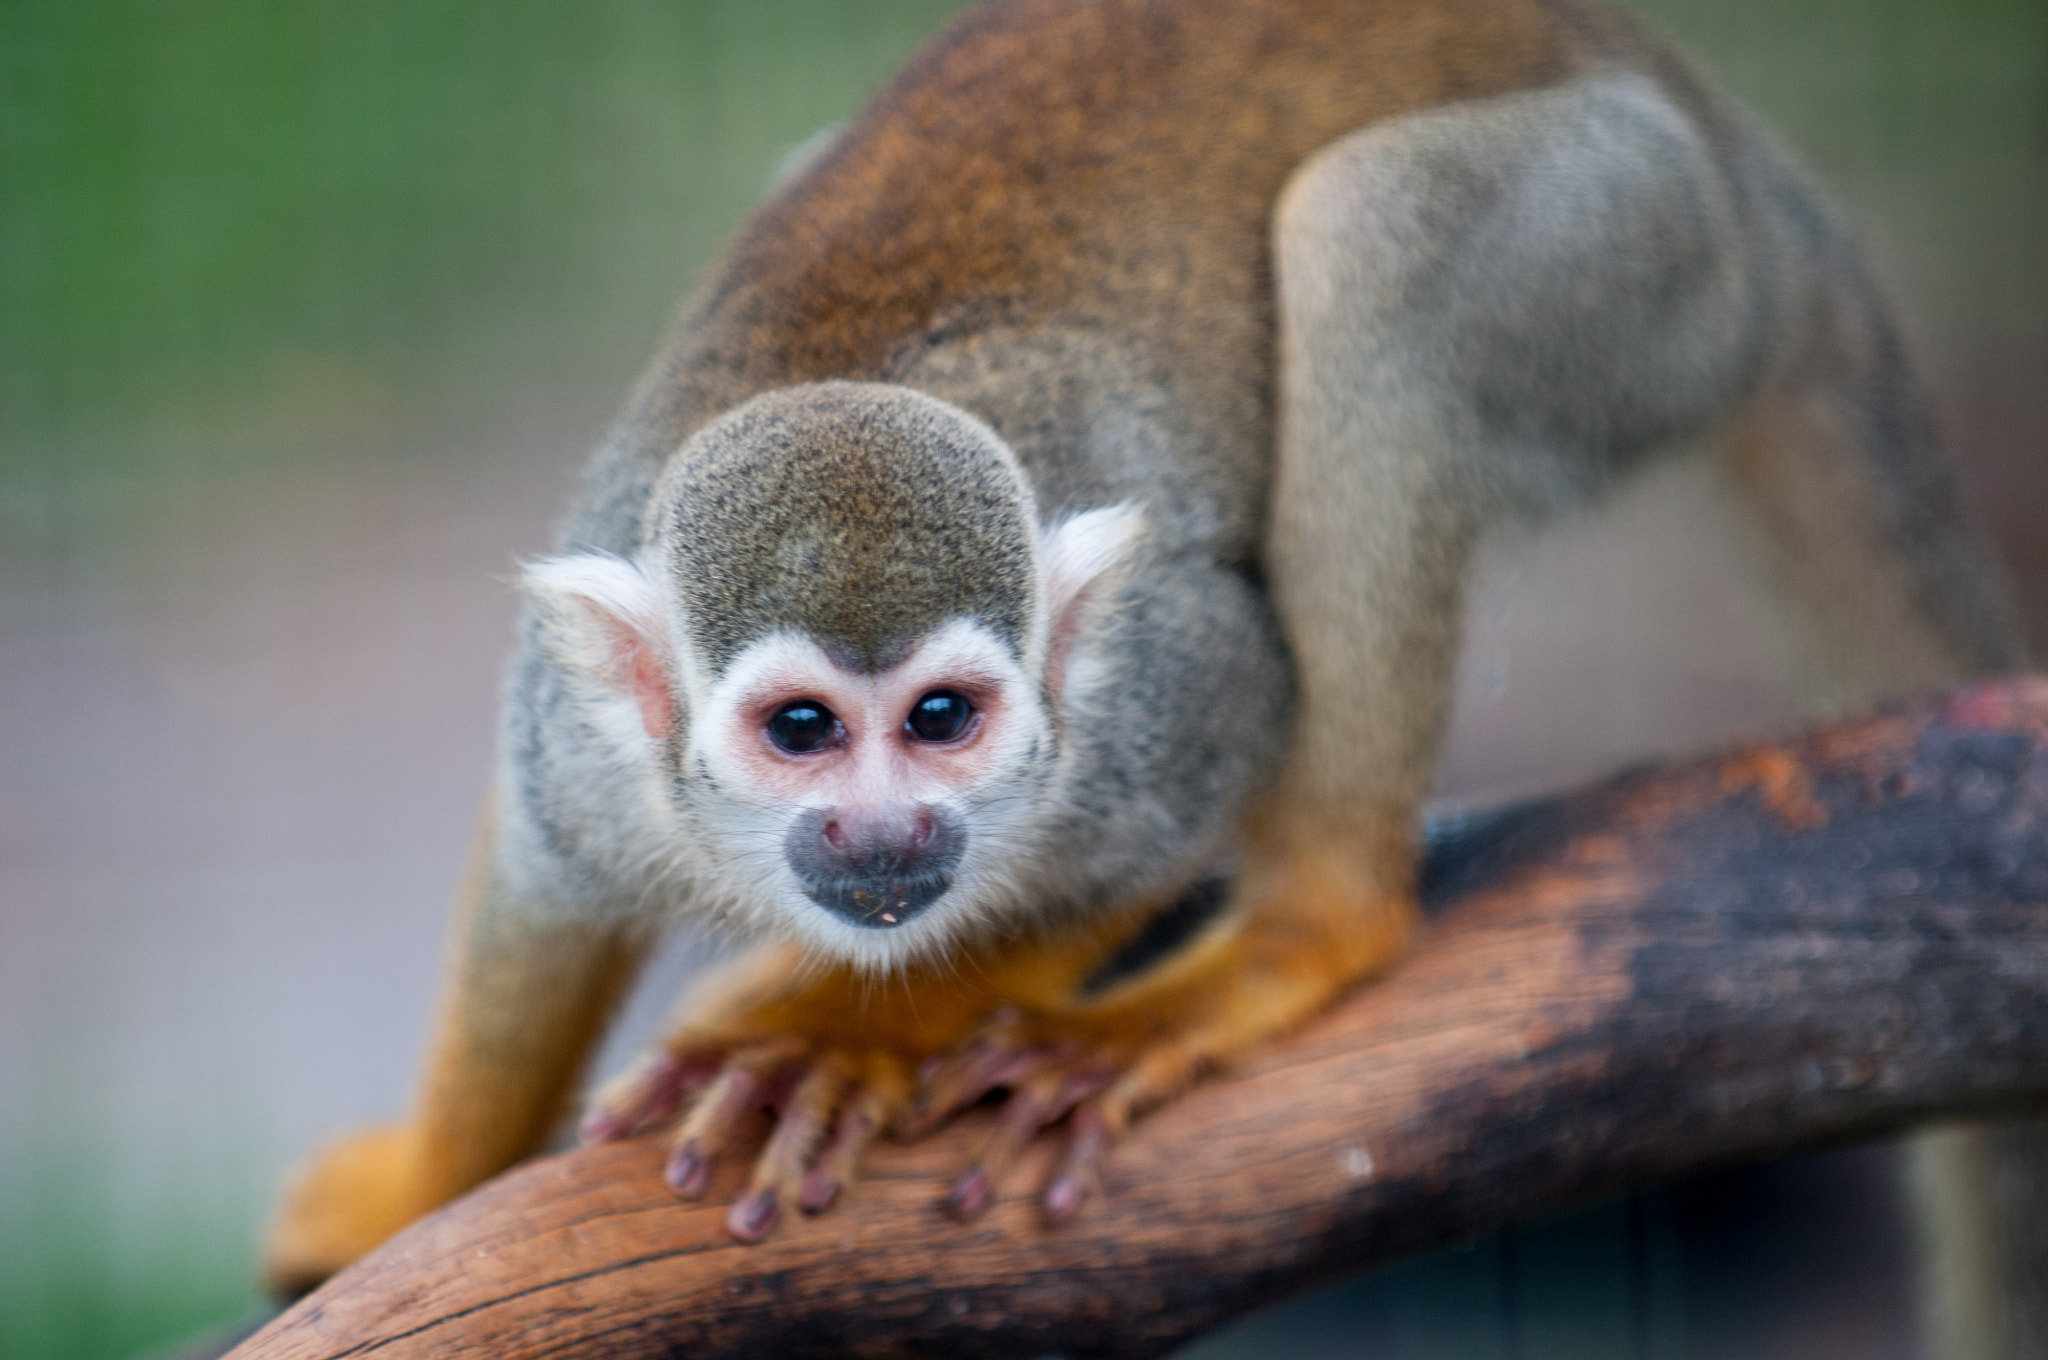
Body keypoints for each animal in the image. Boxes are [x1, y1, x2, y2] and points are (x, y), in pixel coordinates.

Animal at [261, 0, 2038, 1352]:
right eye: (798, 731)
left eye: (943, 721)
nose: (888, 837)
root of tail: (1715, 130)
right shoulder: (582, 754)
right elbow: (538, 889)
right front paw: (428, 1179)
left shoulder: (1141, 717)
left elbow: (1222, 744)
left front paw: (864, 1046)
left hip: (1639, 249)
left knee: (1376, 247)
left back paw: (1306, 934)